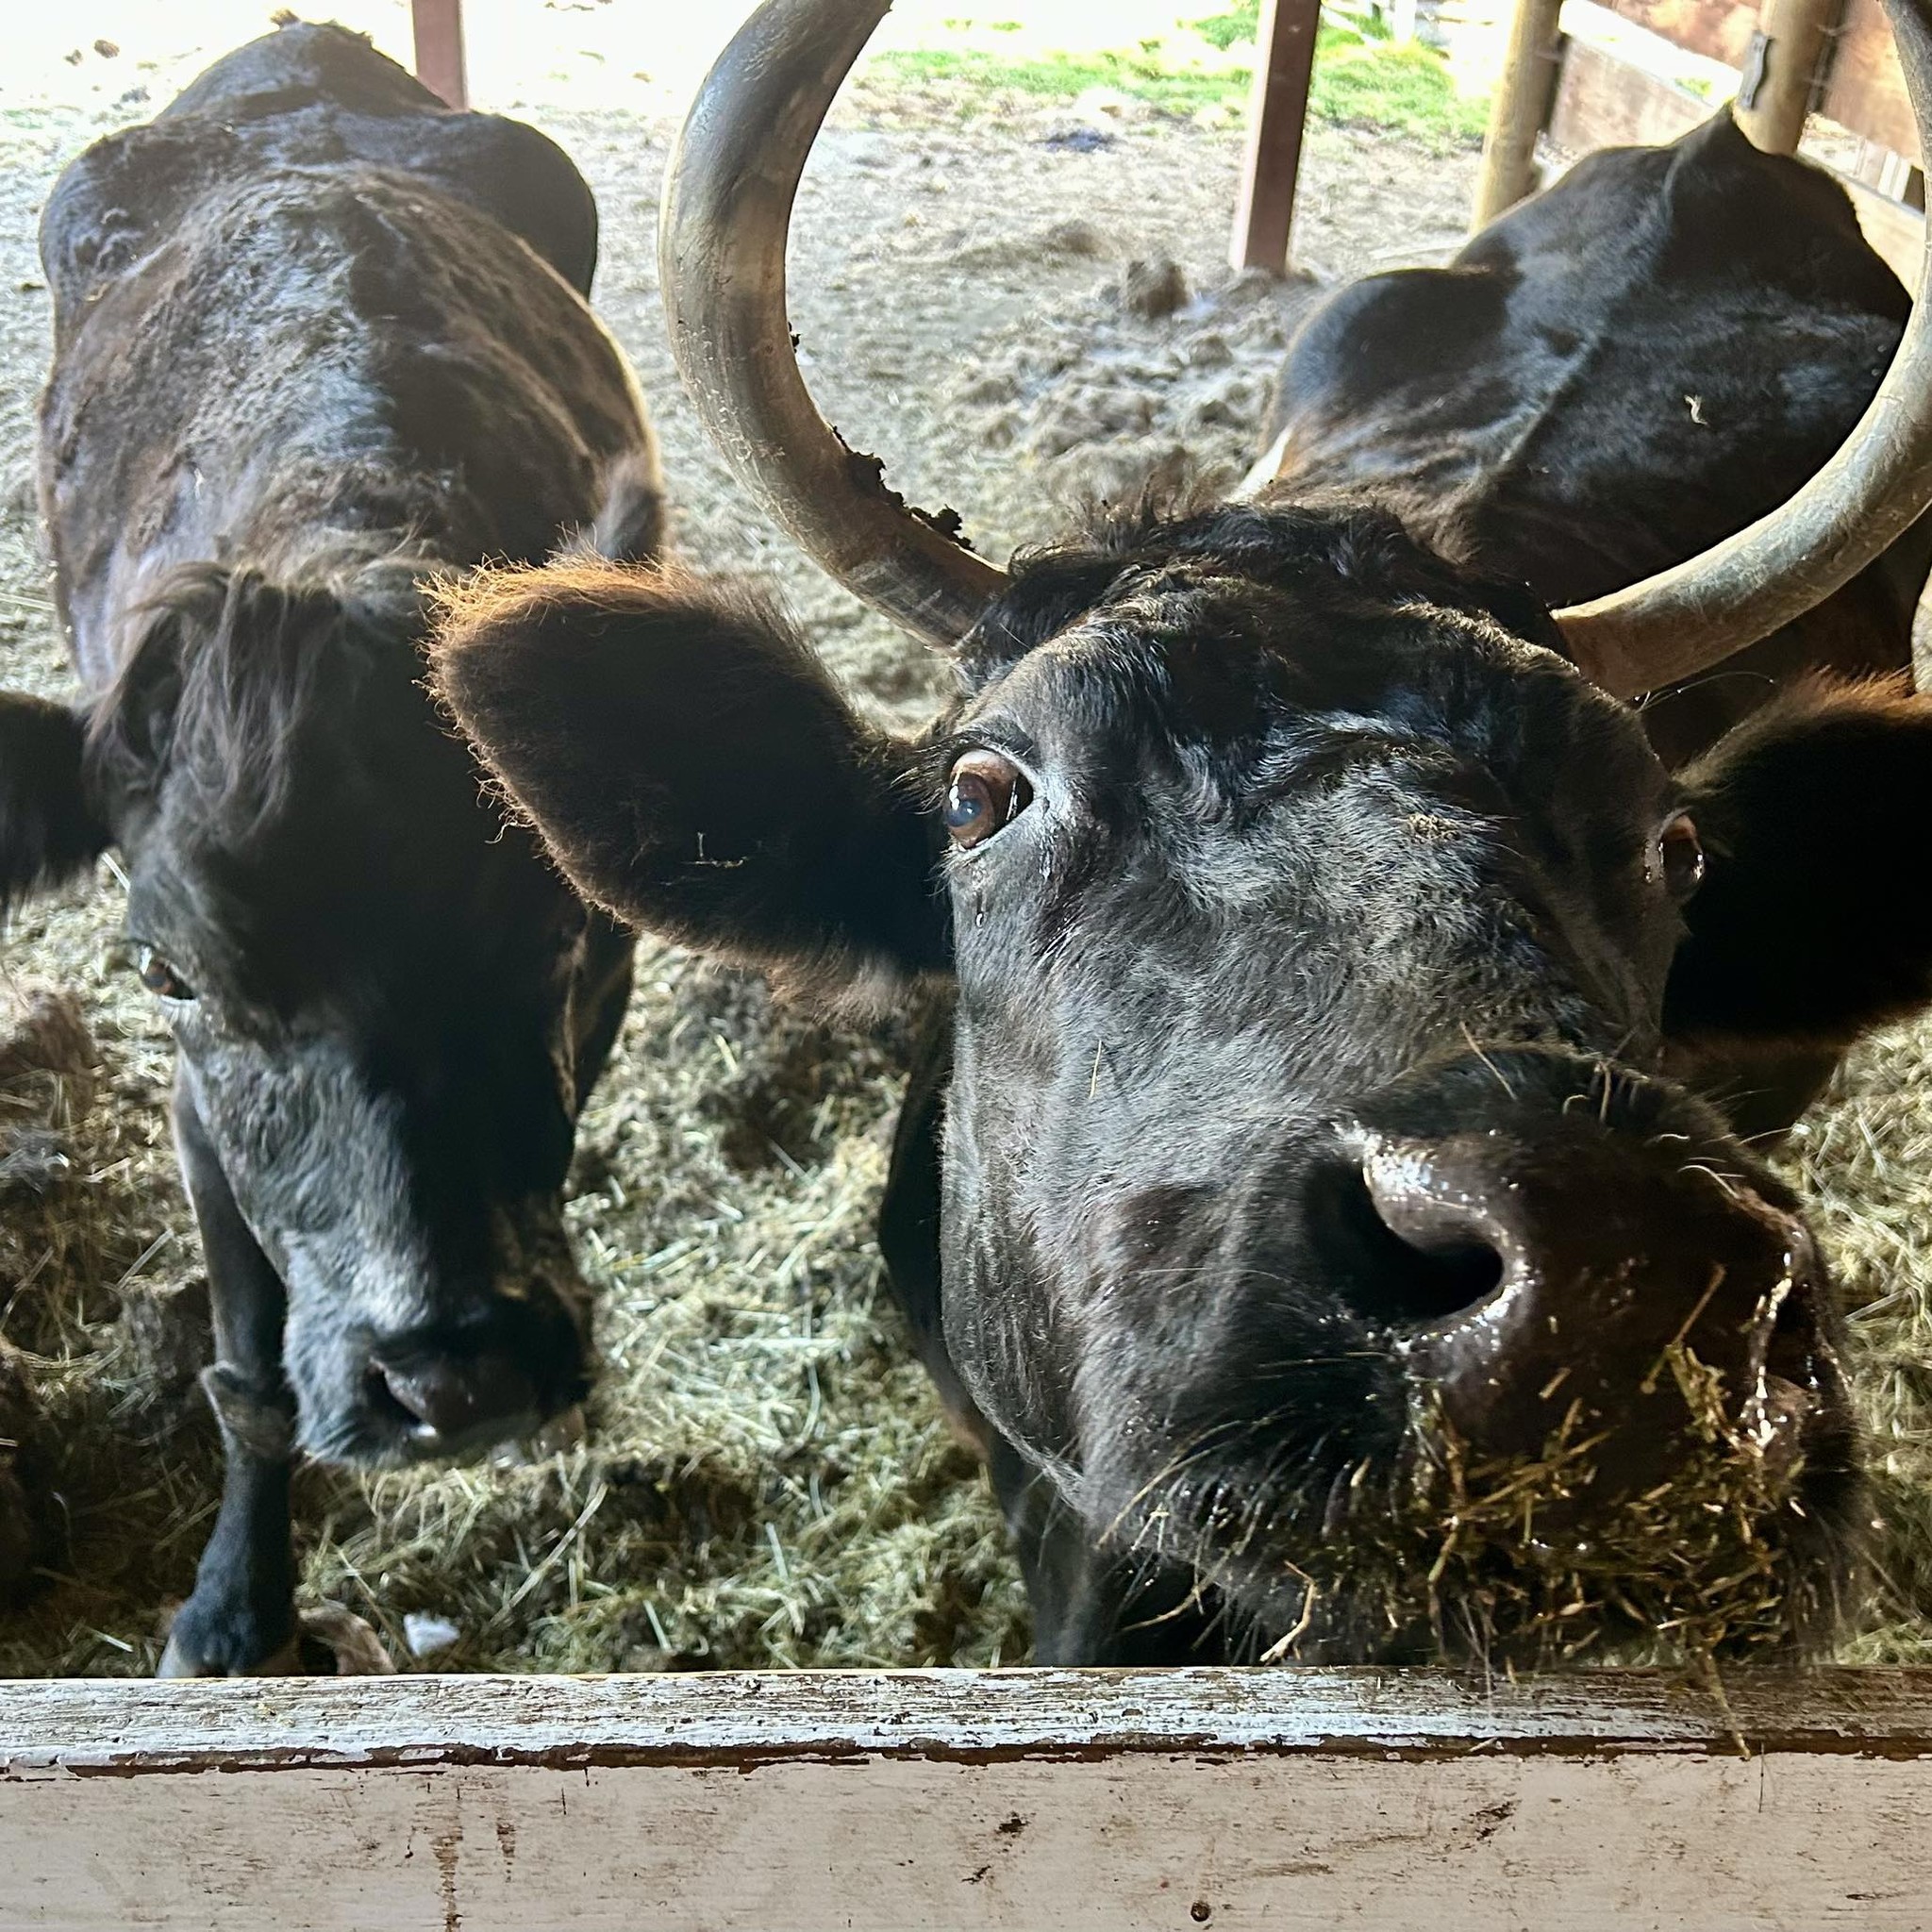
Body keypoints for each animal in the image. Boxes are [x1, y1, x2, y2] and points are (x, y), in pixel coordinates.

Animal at [0, 18, 657, 1676]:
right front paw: (237, 1613)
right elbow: (248, 1377)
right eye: (166, 973)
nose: (453, 1377)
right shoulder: (193, 1103)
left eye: (564, 937)